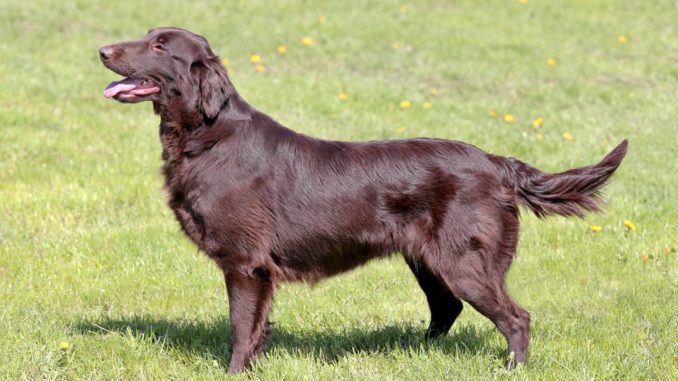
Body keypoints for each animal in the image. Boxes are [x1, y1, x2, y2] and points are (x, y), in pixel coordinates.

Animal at [98, 28, 628, 372]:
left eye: (159, 46)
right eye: (147, 35)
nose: (101, 50)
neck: (207, 136)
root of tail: (496, 162)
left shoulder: (246, 264)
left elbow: (240, 328)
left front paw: (234, 372)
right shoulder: (256, 268)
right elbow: (257, 330)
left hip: (464, 261)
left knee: (516, 318)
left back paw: (511, 368)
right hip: (428, 260)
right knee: (447, 309)